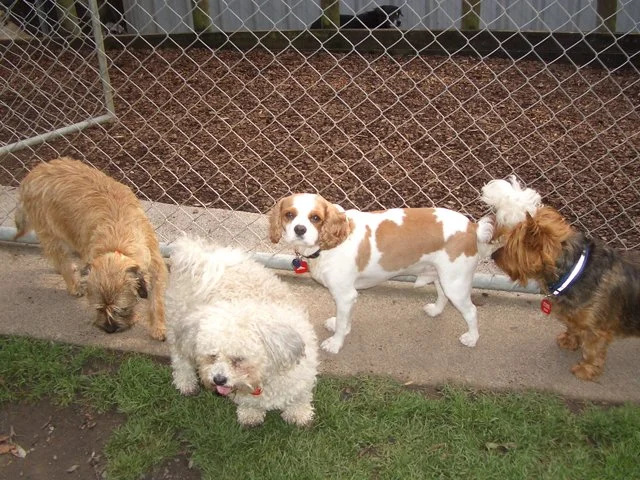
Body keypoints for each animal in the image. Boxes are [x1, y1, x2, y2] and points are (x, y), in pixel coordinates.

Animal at [14, 157, 167, 340]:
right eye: (98, 308)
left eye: (122, 309)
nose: (109, 330)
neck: (117, 241)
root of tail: (33, 174)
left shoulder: (155, 266)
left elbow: (156, 300)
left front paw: (158, 327)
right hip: (51, 232)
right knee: (60, 258)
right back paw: (73, 284)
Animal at [166, 236, 318, 427]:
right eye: (213, 356)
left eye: (238, 360)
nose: (218, 379)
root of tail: (202, 257)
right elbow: (250, 404)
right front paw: (250, 414)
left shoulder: (302, 379)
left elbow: (300, 398)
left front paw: (299, 414)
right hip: (177, 325)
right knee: (180, 360)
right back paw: (186, 382)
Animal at [269, 193, 495, 353]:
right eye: (289, 214)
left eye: (315, 218)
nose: (299, 229)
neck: (329, 244)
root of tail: (472, 226)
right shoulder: (349, 297)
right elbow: (344, 318)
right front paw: (341, 327)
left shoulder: (345, 294)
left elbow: (342, 322)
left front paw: (335, 343)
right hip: (442, 276)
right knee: (442, 296)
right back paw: (435, 310)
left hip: (456, 283)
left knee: (471, 311)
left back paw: (472, 338)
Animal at [482, 176, 640, 381]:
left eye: (510, 247)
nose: (492, 256)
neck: (573, 271)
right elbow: (573, 327)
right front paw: (569, 341)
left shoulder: (597, 330)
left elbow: (592, 350)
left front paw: (586, 369)